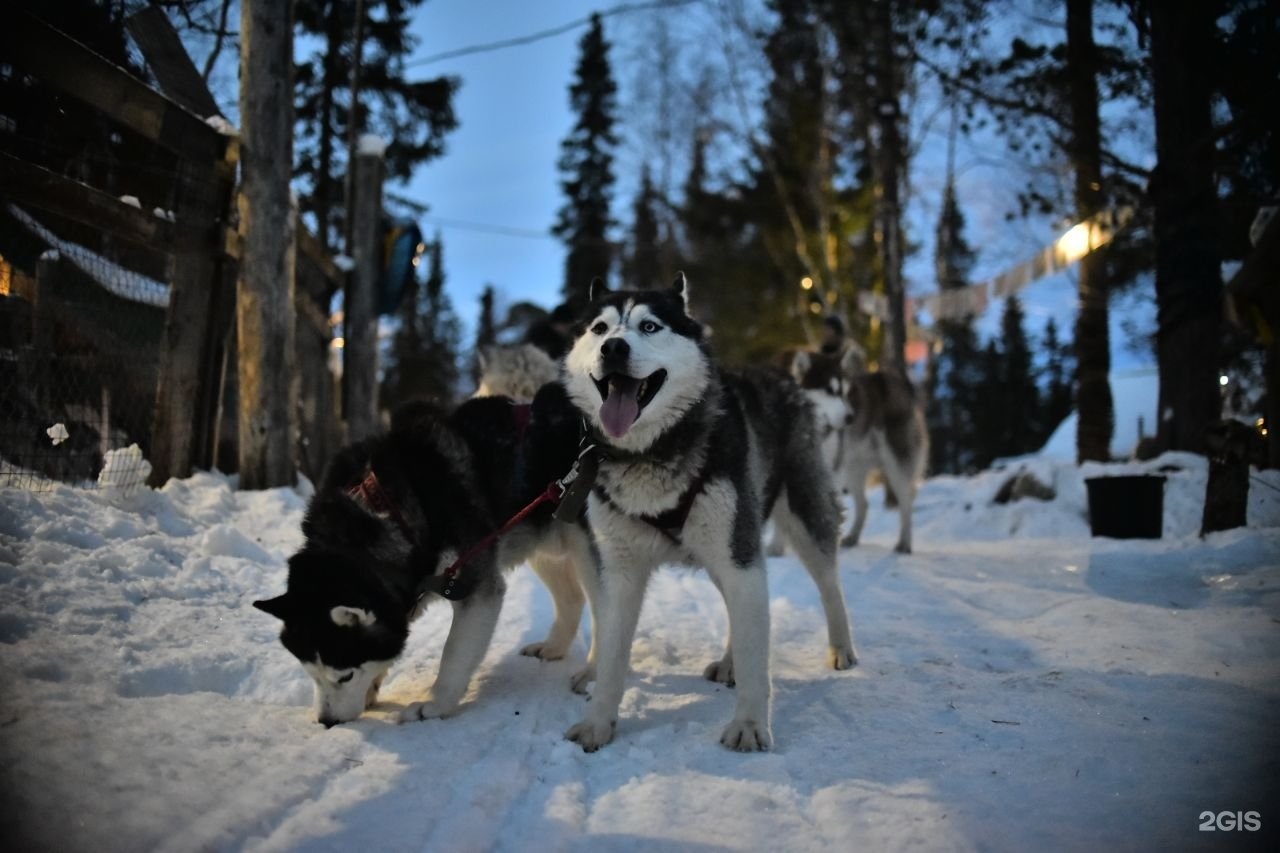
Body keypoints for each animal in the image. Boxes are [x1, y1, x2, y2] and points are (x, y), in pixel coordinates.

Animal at [257, 391, 601, 722]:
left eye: (345, 677)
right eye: (311, 674)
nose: (326, 721)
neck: (381, 507)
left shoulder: (474, 587)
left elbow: (454, 654)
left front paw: (435, 705)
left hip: (592, 552)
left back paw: (594, 675)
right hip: (544, 546)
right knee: (572, 599)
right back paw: (554, 648)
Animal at [558, 272, 849, 753]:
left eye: (650, 326)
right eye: (599, 329)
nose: (613, 348)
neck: (651, 453)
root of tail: (775, 373)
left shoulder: (741, 558)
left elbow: (755, 655)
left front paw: (749, 724)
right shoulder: (621, 572)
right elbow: (613, 652)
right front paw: (598, 722)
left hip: (796, 520)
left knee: (828, 584)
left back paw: (841, 647)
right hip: (721, 551)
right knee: (739, 608)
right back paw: (730, 660)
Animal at [783, 345, 926, 550]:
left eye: (845, 392)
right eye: (829, 391)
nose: (851, 417)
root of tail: (896, 381)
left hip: (896, 465)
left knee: (906, 500)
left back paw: (904, 543)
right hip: (853, 467)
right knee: (864, 504)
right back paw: (853, 537)